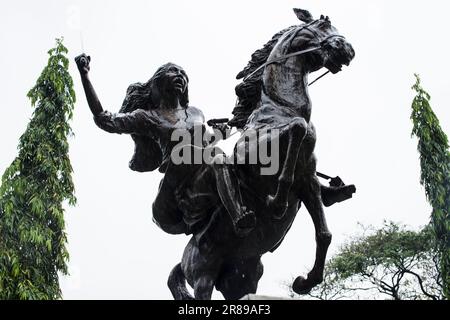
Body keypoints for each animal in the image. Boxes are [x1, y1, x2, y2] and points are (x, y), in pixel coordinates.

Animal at [168, 9, 356, 300]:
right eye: (323, 23)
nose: (348, 50)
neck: (281, 109)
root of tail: (182, 259)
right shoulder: (254, 159)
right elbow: (297, 129)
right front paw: (275, 203)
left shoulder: (308, 181)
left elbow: (324, 234)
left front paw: (306, 282)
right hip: (202, 273)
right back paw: (245, 218)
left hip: (244, 273)